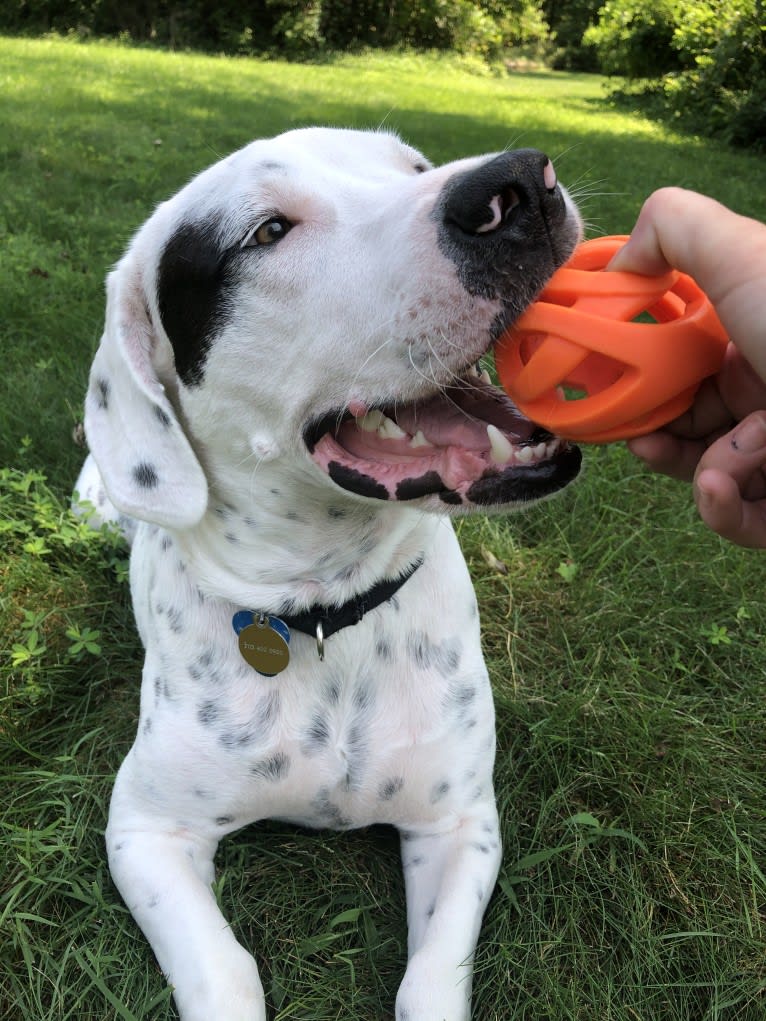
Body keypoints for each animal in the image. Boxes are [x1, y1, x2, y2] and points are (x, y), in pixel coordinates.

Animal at [76, 129, 580, 1021]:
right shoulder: (146, 829)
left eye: (413, 167)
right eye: (267, 231)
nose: (520, 182)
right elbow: (224, 970)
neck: (322, 611)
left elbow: (430, 981)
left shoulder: (458, 823)